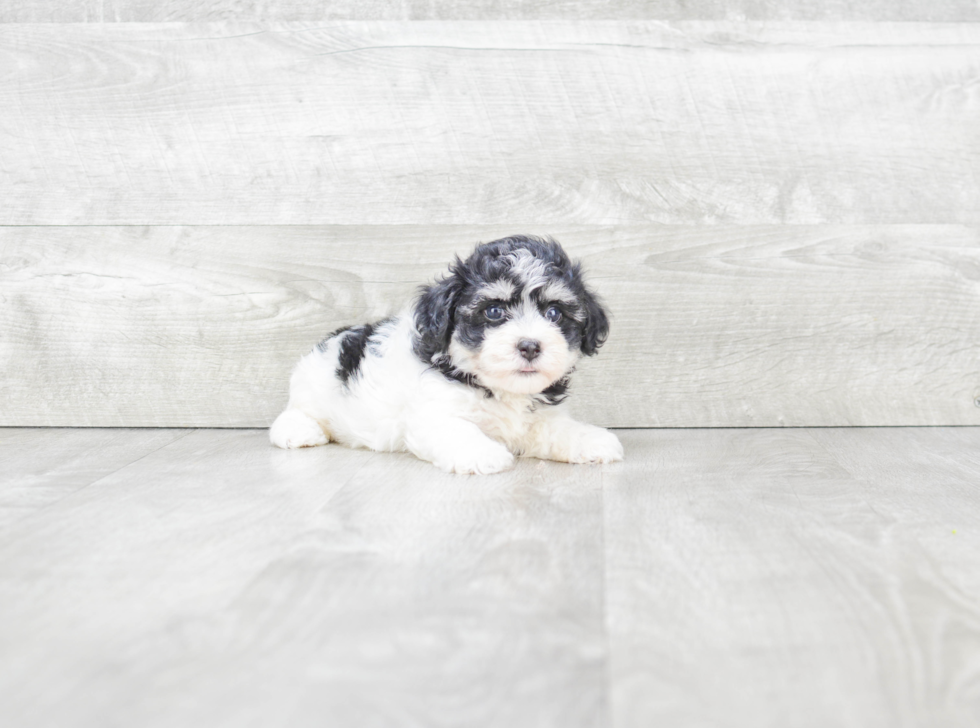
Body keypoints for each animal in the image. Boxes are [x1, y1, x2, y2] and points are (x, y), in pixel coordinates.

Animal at [268, 236, 620, 474]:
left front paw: (591, 440)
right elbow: (457, 429)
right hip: (314, 386)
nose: (530, 346)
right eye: (494, 311)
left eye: (554, 313)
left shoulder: (538, 417)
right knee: (294, 412)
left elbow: (557, 429)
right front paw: (483, 454)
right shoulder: (432, 412)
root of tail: (335, 338)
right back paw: (298, 431)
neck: (498, 389)